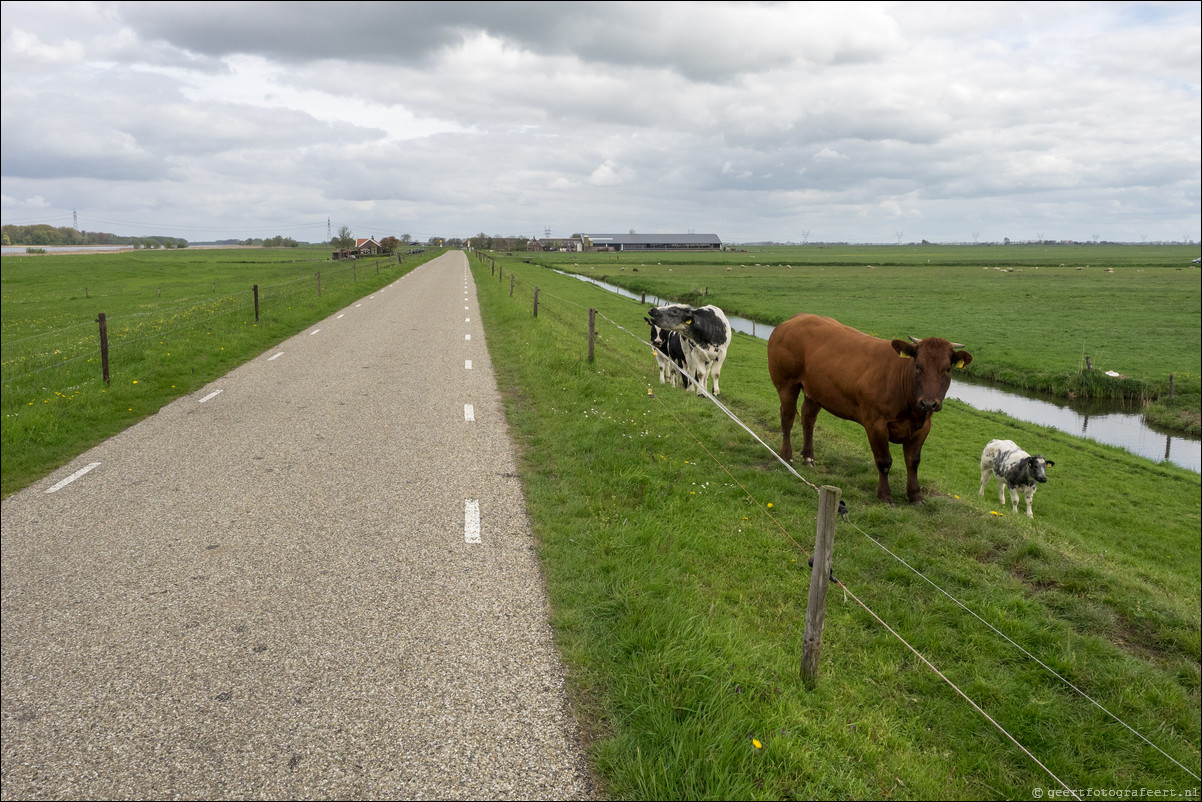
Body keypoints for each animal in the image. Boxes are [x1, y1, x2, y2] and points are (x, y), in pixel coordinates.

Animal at [764, 312, 971, 502]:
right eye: (918, 366)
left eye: (947, 369)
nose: (928, 402)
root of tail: (798, 317)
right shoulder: (875, 423)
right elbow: (884, 461)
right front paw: (885, 496)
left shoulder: (923, 427)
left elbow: (913, 461)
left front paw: (915, 496)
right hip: (786, 384)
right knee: (788, 417)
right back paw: (786, 456)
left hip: (815, 391)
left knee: (808, 419)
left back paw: (808, 457)